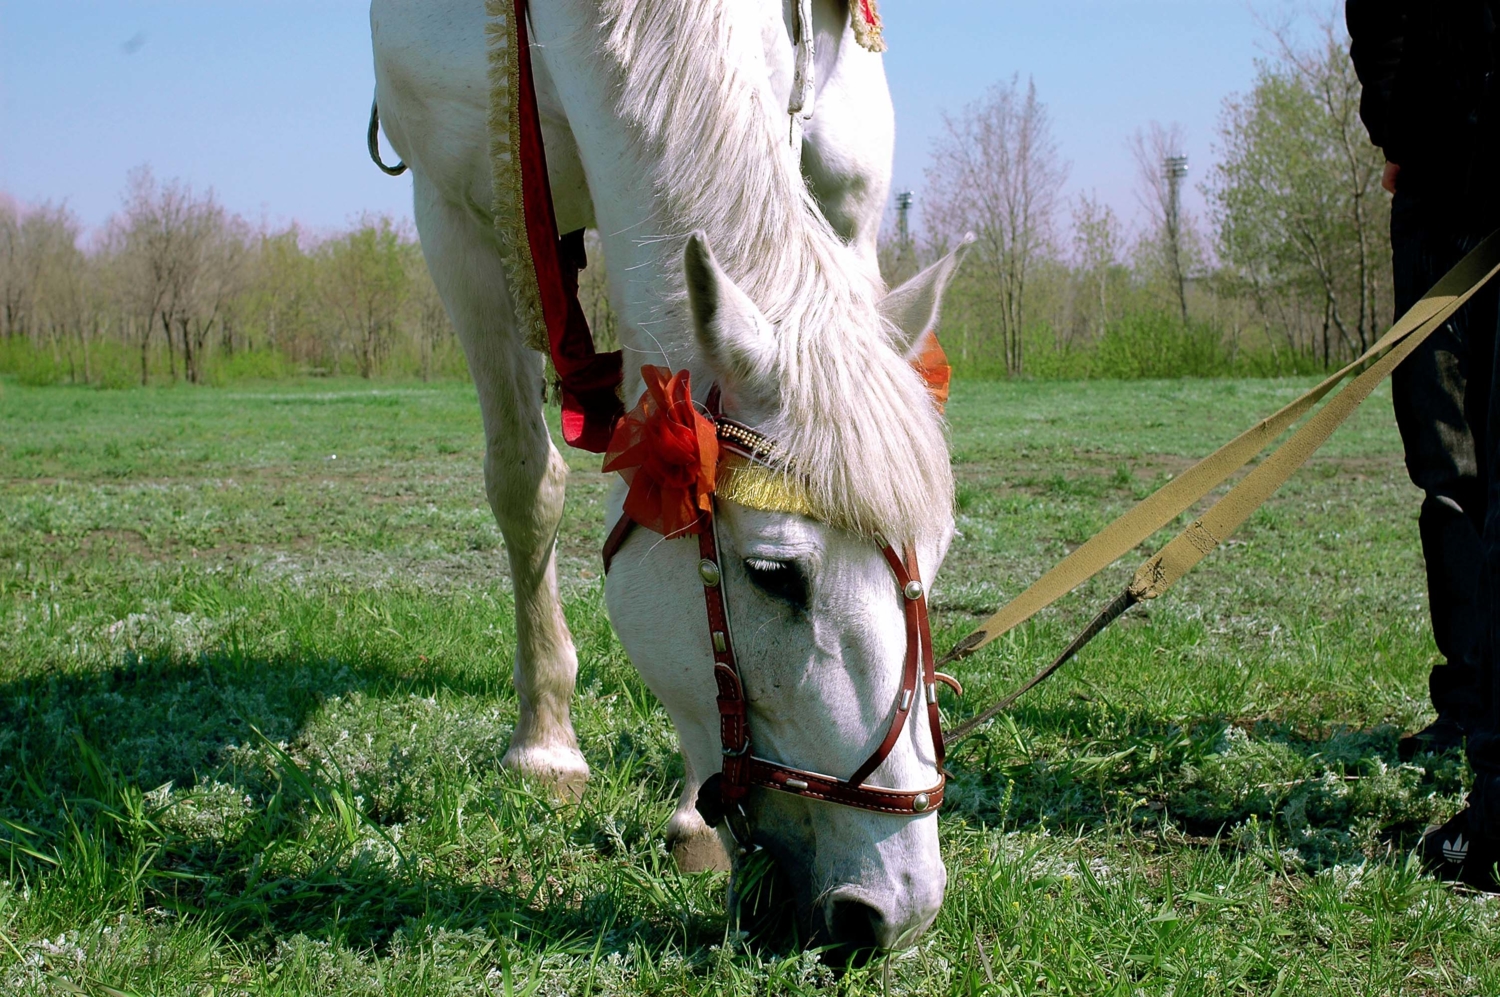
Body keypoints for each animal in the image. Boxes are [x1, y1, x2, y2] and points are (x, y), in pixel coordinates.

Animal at [370, 0, 966, 947]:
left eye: (934, 568)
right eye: (773, 574)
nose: (899, 908)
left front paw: (692, 817)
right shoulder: (452, 203)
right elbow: (522, 480)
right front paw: (544, 743)